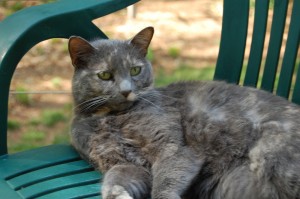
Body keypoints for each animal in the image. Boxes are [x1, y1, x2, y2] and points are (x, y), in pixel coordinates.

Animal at [68, 26, 300, 199]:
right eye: (105, 75)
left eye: (135, 70)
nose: (126, 90)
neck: (113, 119)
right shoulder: (121, 162)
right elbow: (115, 180)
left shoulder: (172, 148)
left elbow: (165, 182)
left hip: (272, 157)